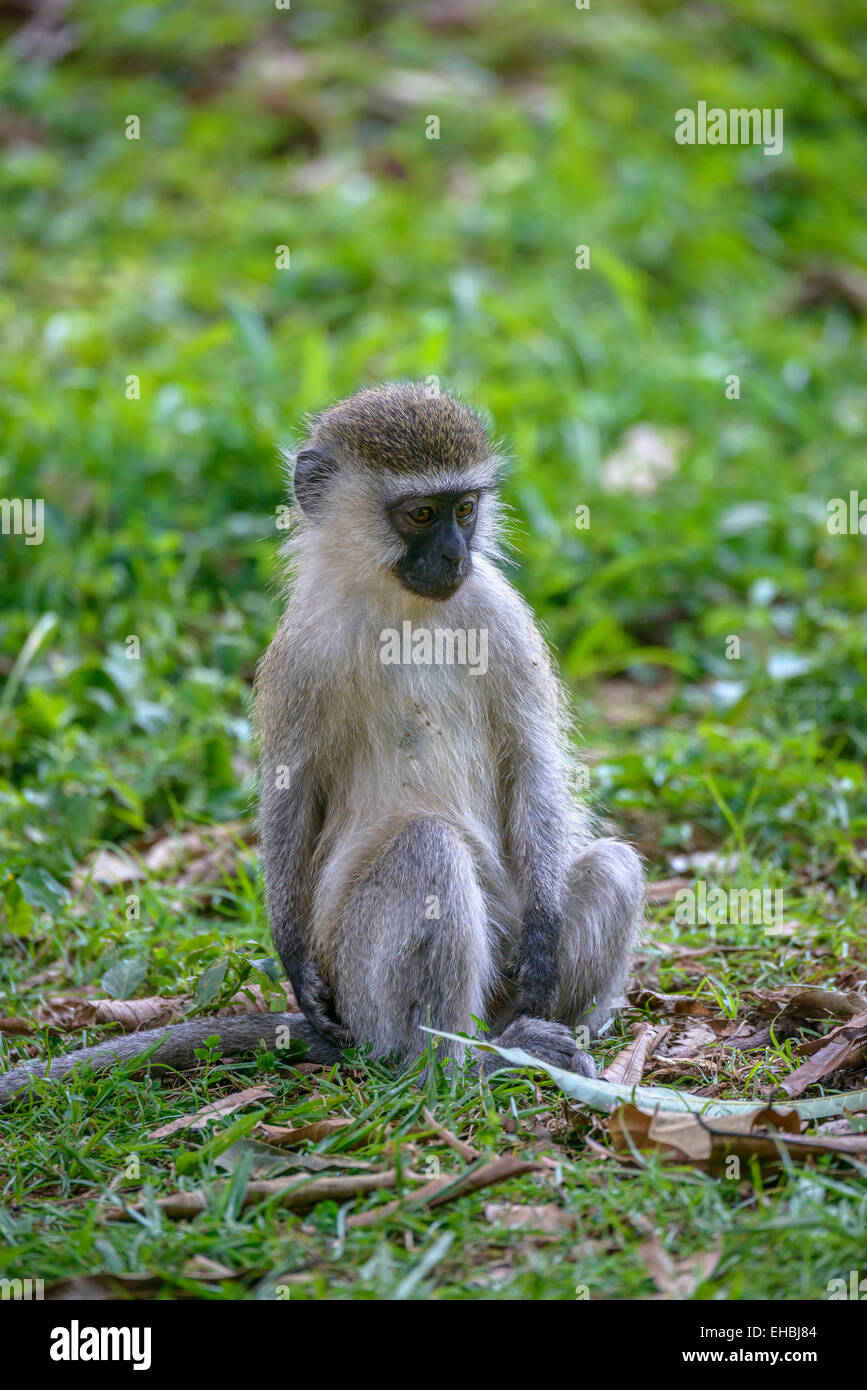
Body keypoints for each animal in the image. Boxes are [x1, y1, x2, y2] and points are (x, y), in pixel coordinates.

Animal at [0, 386, 639, 1100]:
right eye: (421, 514)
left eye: (465, 509)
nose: (456, 557)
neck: (402, 609)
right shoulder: (300, 652)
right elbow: (292, 791)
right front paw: (293, 959)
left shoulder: (500, 617)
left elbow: (531, 762)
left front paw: (545, 936)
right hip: (360, 980)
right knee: (427, 851)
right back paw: (462, 1066)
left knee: (611, 868)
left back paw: (535, 1042)